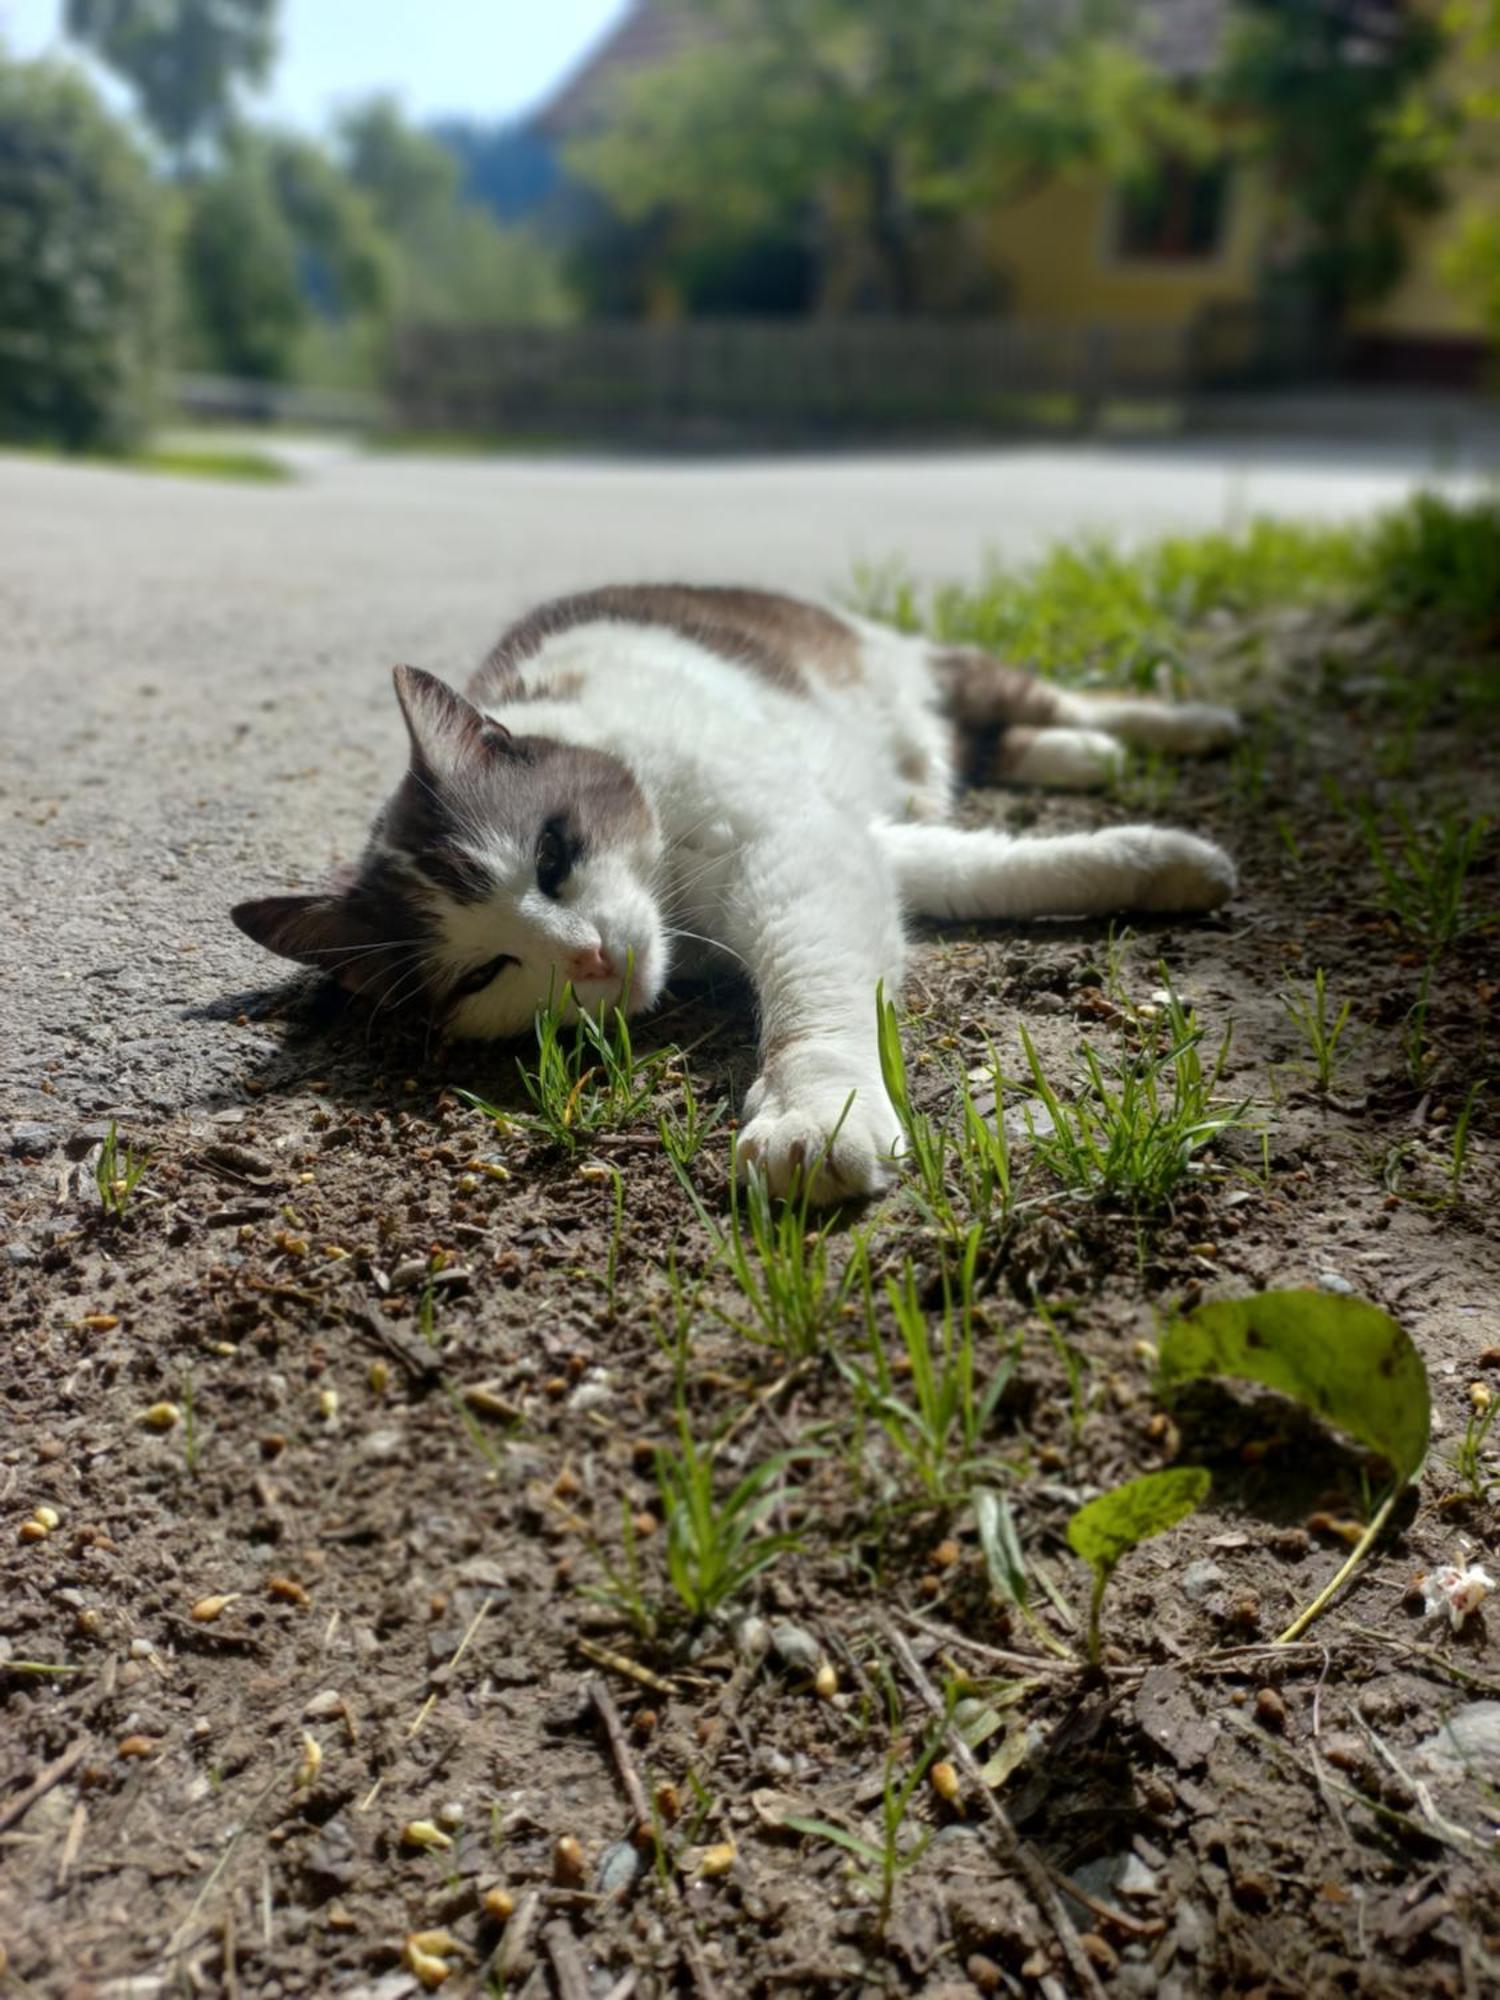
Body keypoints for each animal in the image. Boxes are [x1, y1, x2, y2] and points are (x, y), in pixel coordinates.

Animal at [238, 584, 1248, 1200]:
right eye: (487, 972)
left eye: (552, 853)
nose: (588, 956)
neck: (676, 903)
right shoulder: (854, 841)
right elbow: (992, 869)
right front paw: (1159, 863)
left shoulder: (791, 848)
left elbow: (813, 989)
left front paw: (815, 1115)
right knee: (997, 747)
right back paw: (1083, 760)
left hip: (931, 669)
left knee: (1046, 701)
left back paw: (1191, 725)